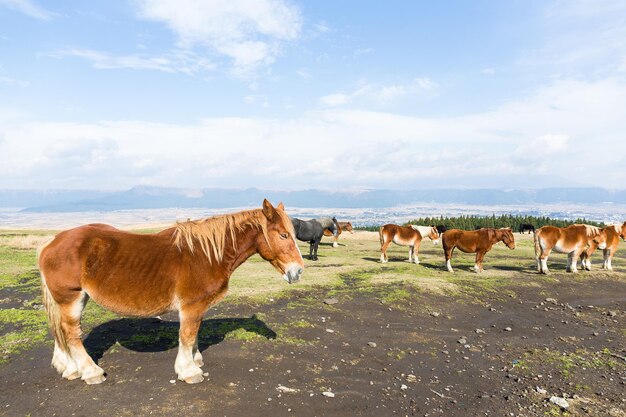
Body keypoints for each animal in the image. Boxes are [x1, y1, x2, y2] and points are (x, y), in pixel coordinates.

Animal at [38, 200, 302, 386]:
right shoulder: (191, 306)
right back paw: (90, 372)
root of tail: (52, 242)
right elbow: (187, 335)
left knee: (60, 331)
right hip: (71, 298)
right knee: (71, 333)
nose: (297, 271)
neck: (206, 254)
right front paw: (189, 371)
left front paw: (195, 359)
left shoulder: (197, 307)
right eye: (283, 235)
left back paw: (70, 368)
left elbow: (194, 334)